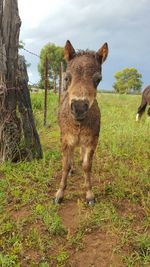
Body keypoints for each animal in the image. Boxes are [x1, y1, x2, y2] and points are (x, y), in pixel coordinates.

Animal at [54, 40, 108, 205]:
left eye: (98, 79)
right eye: (67, 77)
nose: (79, 107)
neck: (78, 123)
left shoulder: (92, 140)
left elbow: (87, 166)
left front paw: (89, 195)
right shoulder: (65, 140)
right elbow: (65, 165)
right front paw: (59, 194)